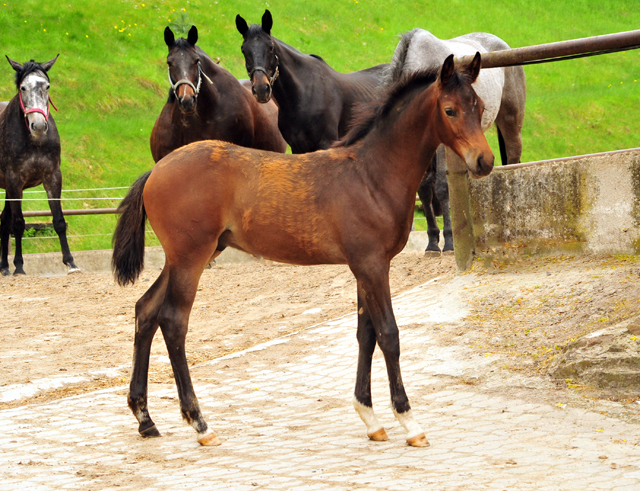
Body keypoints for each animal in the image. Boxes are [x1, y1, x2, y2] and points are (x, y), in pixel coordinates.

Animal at [0, 56, 78, 276]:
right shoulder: (15, 180)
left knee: (3, 222)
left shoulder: (52, 177)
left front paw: (71, 263)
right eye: (23, 88)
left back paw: (4, 267)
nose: (39, 125)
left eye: (47, 86)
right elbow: (18, 223)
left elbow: (59, 221)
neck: (34, 140)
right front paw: (19, 267)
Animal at [112, 54, 492, 450]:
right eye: (449, 110)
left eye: (479, 106)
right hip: (191, 258)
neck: (371, 175)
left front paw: (370, 418)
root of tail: (156, 170)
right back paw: (200, 423)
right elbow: (389, 335)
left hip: (182, 258)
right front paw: (409, 421)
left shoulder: (364, 266)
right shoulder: (373, 265)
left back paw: (145, 418)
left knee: (145, 310)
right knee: (173, 322)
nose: (484, 161)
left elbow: (365, 335)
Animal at [235, 11, 384, 154]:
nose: (261, 89)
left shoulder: (326, 144)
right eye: (243, 49)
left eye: (271, 47)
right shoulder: (297, 148)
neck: (304, 95)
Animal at [384, 28, 524, 256]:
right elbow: (424, 188)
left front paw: (449, 241)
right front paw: (432, 243)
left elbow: (442, 186)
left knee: (512, 164)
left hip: (511, 125)